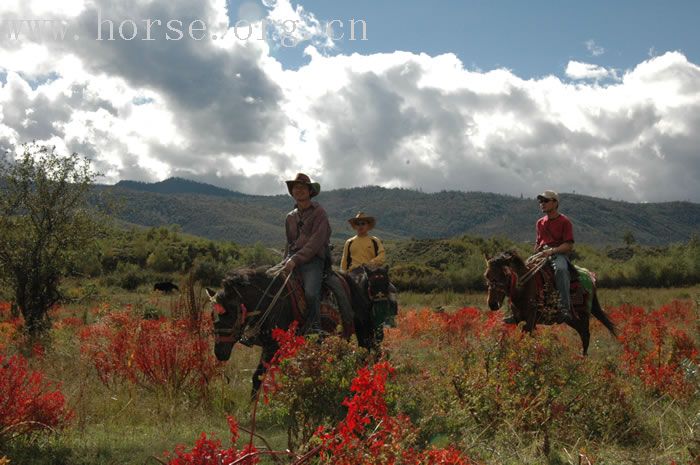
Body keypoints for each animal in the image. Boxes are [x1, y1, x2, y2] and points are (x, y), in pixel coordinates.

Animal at [204, 264, 374, 396]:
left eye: (230, 314)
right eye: (212, 316)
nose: (219, 353)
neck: (270, 301)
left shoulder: (274, 347)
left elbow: (258, 376)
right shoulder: (268, 345)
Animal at [484, 250, 616, 356]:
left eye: (505, 274)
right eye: (486, 275)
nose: (492, 304)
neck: (524, 288)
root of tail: (590, 277)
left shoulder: (530, 320)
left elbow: (524, 336)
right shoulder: (517, 318)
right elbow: (504, 330)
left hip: (583, 315)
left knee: (585, 335)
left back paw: (582, 359)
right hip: (572, 320)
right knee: (583, 333)